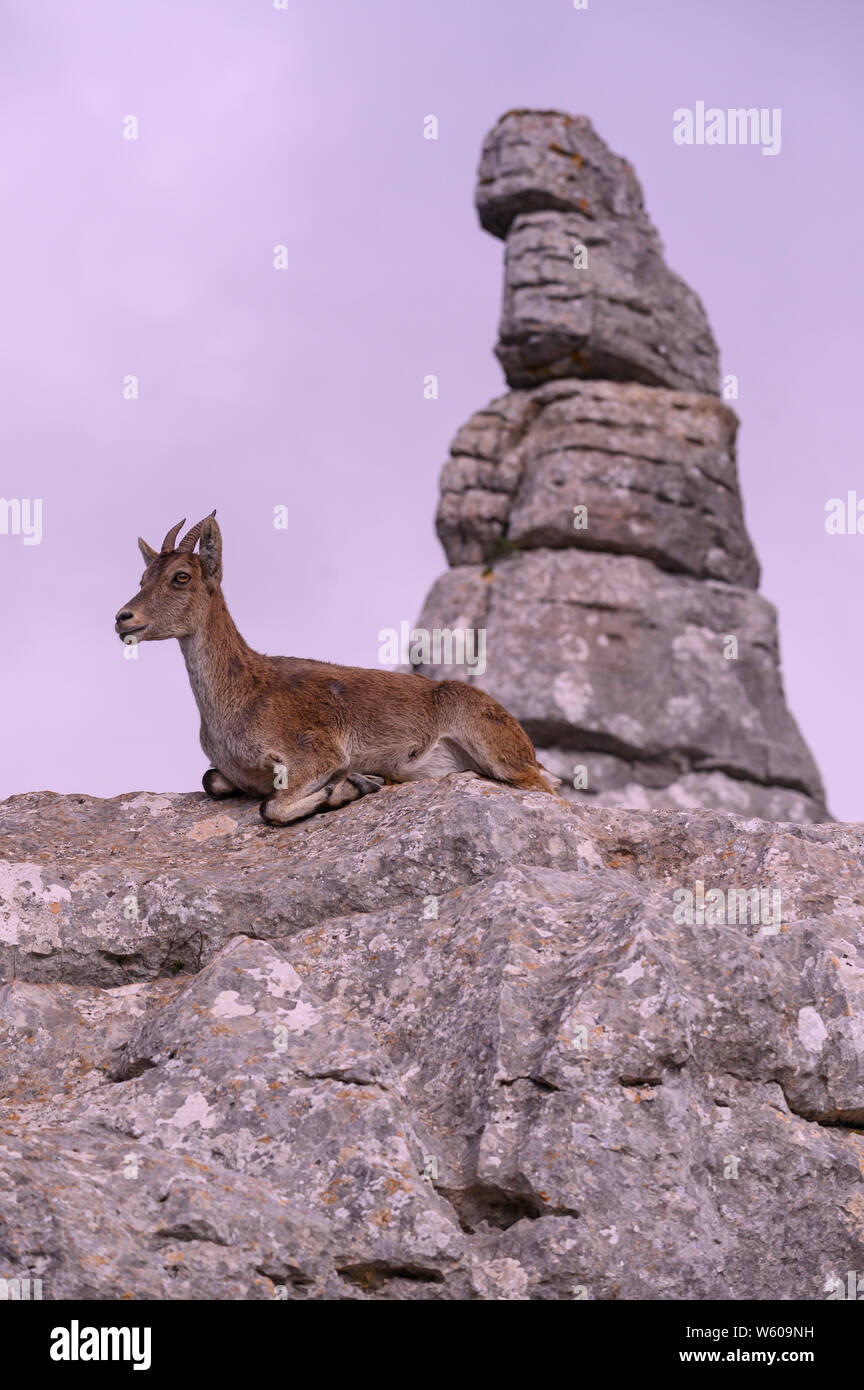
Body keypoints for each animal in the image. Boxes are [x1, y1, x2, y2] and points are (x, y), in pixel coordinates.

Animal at [115, 513, 560, 825]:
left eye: (181, 577)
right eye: (143, 577)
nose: (123, 618)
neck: (241, 695)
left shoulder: (314, 752)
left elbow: (271, 808)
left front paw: (353, 786)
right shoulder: (234, 773)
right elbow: (212, 781)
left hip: (498, 751)